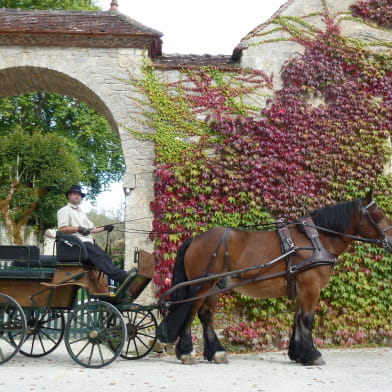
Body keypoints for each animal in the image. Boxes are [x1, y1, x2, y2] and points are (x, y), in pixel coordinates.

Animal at [157, 190, 392, 364]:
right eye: (379, 215)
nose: (391, 240)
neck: (315, 241)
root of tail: (194, 239)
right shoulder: (311, 286)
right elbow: (307, 319)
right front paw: (312, 355)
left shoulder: (301, 286)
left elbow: (298, 319)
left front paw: (298, 354)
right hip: (202, 284)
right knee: (189, 312)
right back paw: (186, 352)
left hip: (215, 285)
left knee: (205, 316)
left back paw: (216, 352)